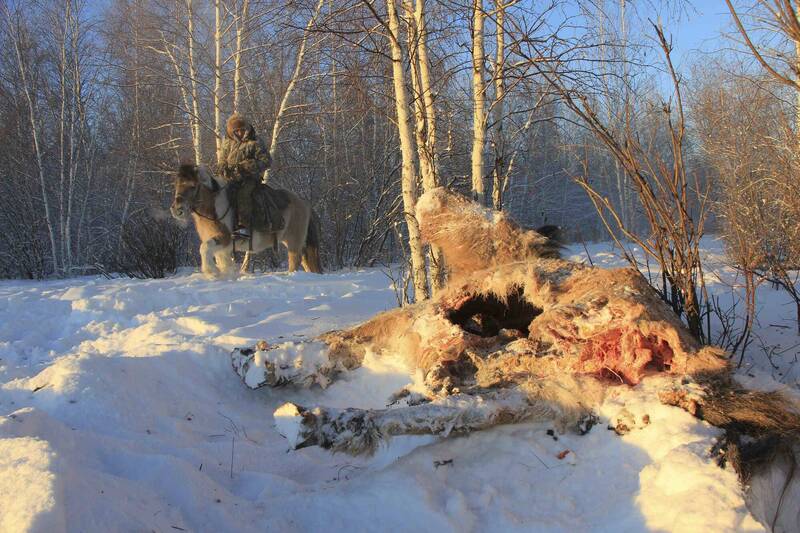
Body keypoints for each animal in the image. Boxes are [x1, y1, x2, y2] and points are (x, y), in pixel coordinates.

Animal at [169, 162, 322, 278]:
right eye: (176, 185)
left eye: (193, 186)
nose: (177, 210)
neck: (215, 207)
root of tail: (304, 204)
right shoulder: (222, 248)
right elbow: (222, 261)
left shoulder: (225, 238)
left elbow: (204, 248)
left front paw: (211, 272)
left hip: (294, 243)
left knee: (295, 262)